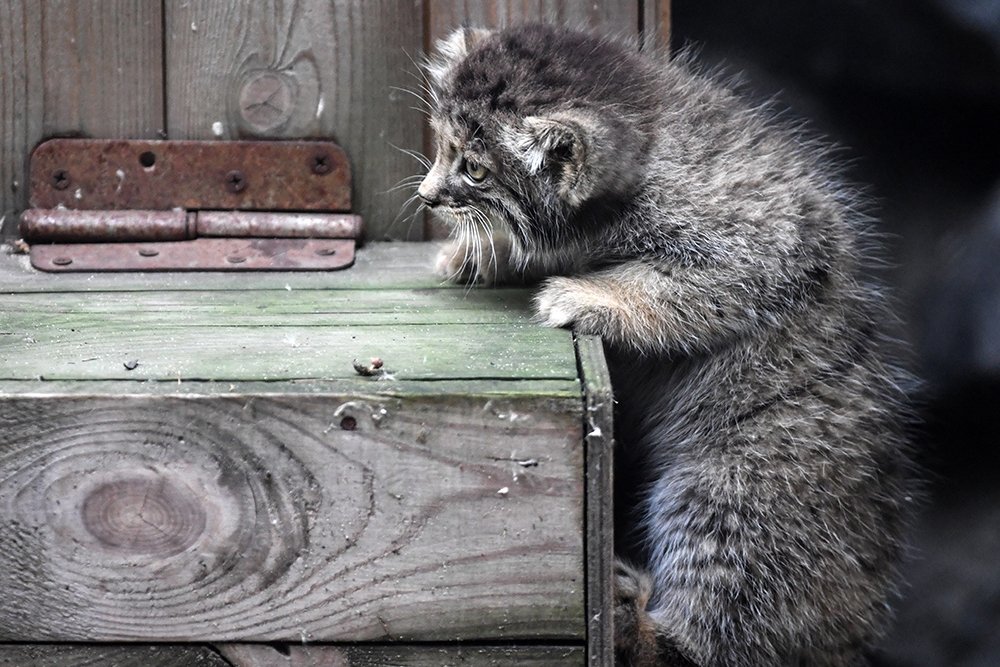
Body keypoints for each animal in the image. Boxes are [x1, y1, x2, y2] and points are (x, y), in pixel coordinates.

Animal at [414, 23, 916, 664]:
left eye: (474, 169)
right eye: (441, 147)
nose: (427, 196)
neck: (651, 138)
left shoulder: (763, 243)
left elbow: (674, 288)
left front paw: (587, 296)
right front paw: (480, 256)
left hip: (738, 484)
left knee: (716, 633)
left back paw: (637, 620)